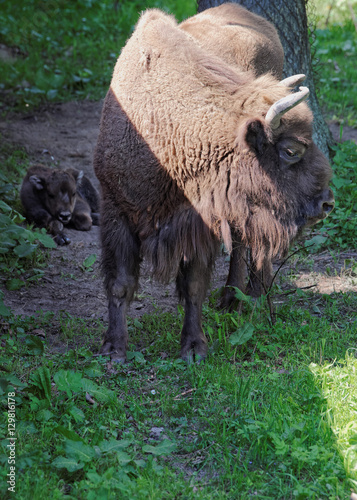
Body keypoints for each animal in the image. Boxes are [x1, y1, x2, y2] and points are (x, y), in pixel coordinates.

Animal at [94, 7, 334, 364]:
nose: (326, 203)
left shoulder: (199, 224)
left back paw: (247, 298)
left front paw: (194, 348)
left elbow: (194, 285)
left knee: (248, 247)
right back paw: (234, 298)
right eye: (291, 150)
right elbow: (120, 283)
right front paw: (113, 349)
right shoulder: (116, 211)